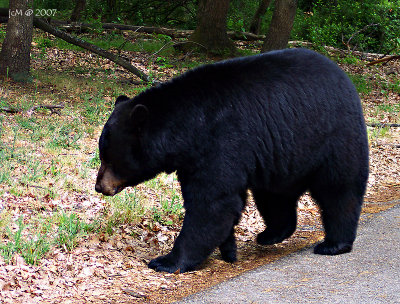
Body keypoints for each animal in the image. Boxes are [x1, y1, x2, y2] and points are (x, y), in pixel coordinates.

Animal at [94, 48, 368, 274]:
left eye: (108, 157)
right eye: (102, 154)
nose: (99, 186)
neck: (186, 128)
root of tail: (345, 78)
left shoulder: (220, 141)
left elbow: (211, 203)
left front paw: (167, 261)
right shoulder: (193, 159)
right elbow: (221, 202)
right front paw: (229, 250)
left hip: (334, 137)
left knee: (339, 190)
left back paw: (334, 243)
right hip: (281, 156)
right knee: (274, 196)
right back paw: (270, 234)